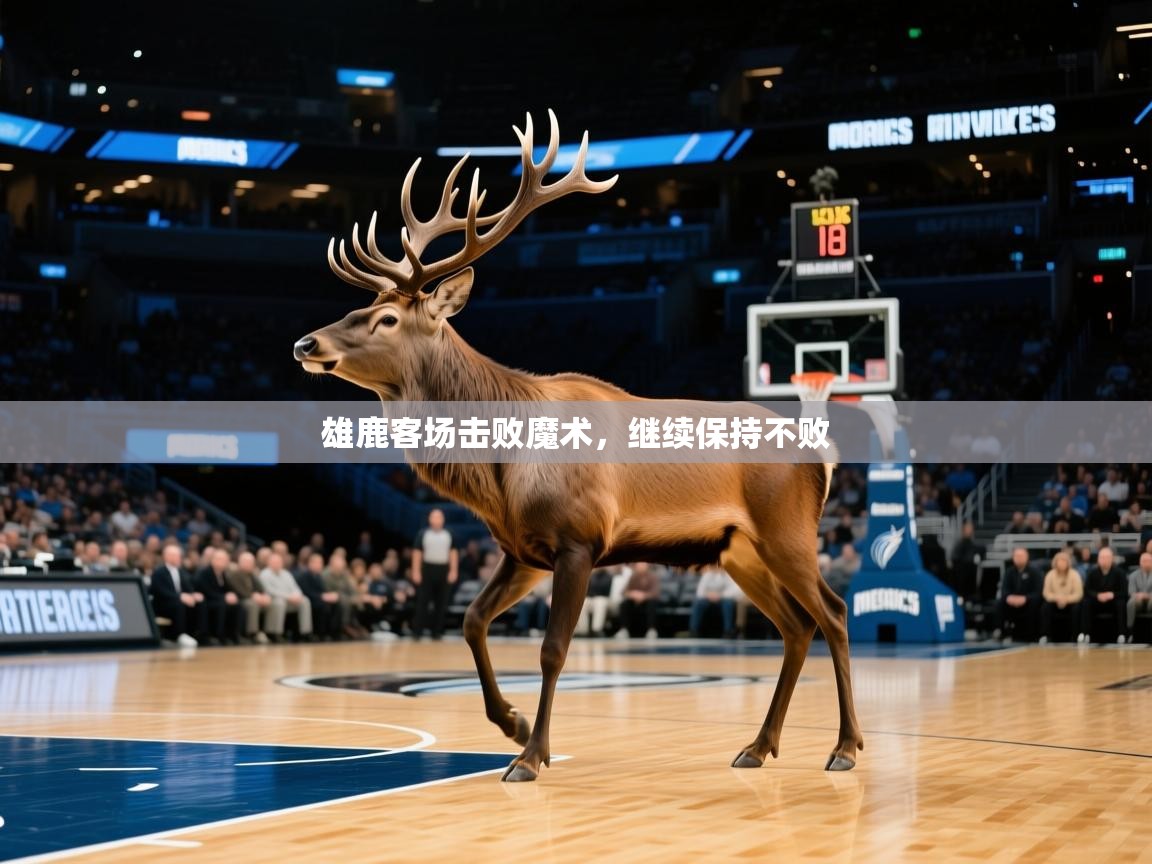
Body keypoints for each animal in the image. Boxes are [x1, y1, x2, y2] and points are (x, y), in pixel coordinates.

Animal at [293, 110, 863, 783]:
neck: (501, 469)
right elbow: (472, 619)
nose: (306, 344)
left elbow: (553, 648)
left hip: (787, 530)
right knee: (796, 627)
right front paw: (510, 723)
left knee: (833, 613)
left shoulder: (579, 539)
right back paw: (757, 745)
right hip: (738, 550)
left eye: (386, 319)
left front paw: (530, 755)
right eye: (362, 306)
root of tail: (823, 457)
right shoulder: (522, 549)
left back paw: (844, 747)